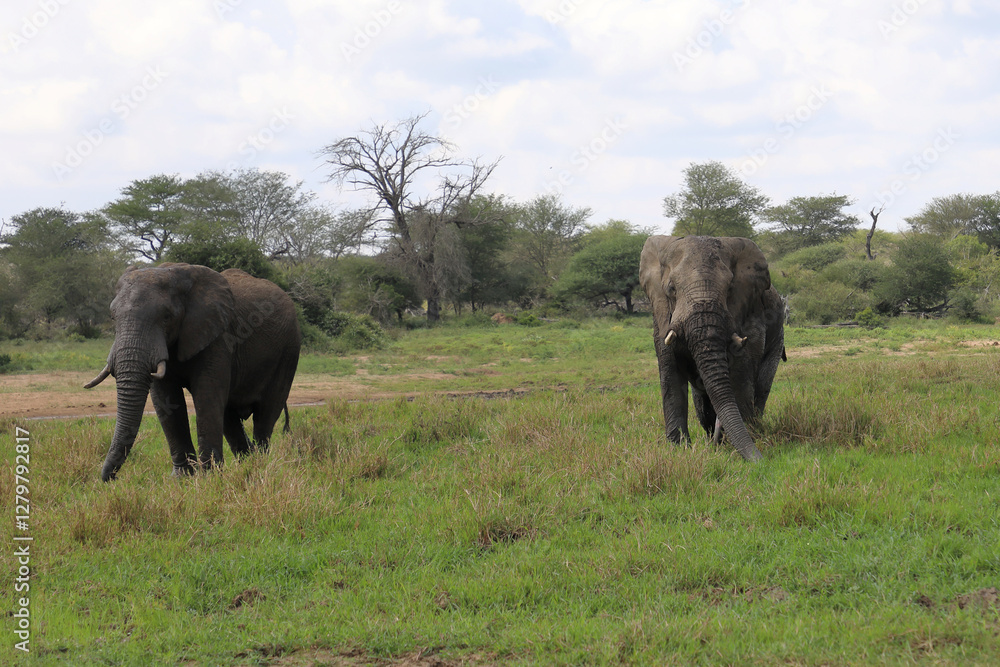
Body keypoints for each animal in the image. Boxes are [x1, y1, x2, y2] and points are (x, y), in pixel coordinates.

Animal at [85, 263, 301, 481]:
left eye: (167, 317)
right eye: (113, 317)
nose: (111, 478)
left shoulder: (218, 337)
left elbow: (206, 396)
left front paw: (208, 478)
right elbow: (166, 399)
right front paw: (182, 478)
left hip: (288, 351)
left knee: (265, 415)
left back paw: (260, 465)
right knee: (229, 417)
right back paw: (248, 462)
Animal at [639, 236, 785, 461]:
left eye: (730, 288)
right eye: (671, 289)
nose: (763, 461)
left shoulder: (751, 313)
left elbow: (741, 373)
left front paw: (746, 442)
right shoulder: (661, 316)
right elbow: (670, 373)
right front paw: (678, 450)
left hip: (778, 338)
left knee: (761, 387)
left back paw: (750, 431)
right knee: (702, 402)